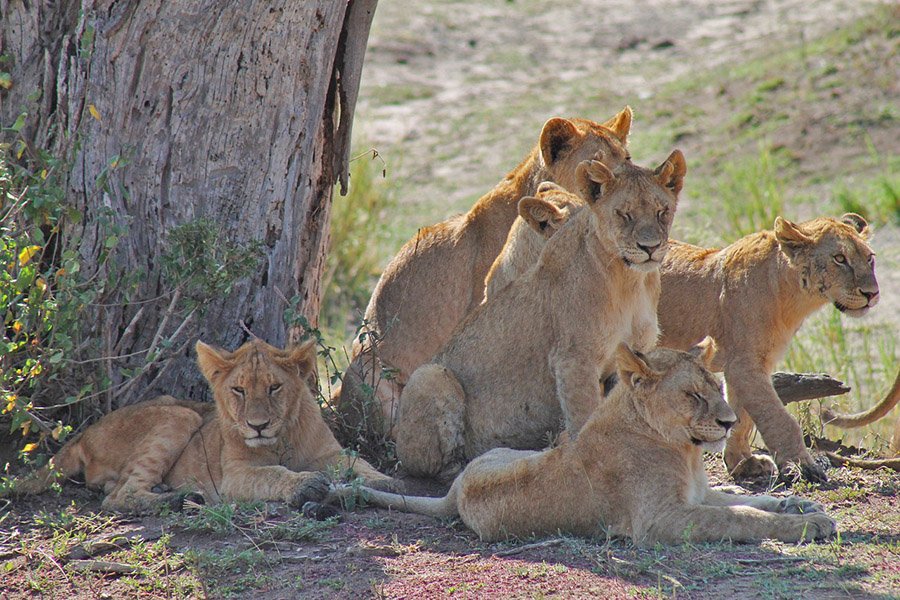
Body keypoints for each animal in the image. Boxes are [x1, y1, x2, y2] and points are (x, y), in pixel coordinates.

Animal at [7, 339, 399, 513]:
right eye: (239, 390)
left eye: (275, 387)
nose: (258, 426)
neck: (281, 438)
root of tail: (82, 435)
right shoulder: (233, 477)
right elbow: (272, 473)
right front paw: (305, 485)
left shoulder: (328, 452)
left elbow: (356, 461)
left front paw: (383, 482)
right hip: (179, 415)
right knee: (118, 498)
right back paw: (181, 498)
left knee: (115, 490)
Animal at [338, 343, 836, 545]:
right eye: (693, 395)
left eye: (718, 387)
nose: (730, 422)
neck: (685, 451)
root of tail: (457, 490)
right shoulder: (660, 521)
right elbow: (742, 519)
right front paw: (808, 525)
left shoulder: (692, 495)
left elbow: (750, 503)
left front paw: (800, 505)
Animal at [395, 150, 686, 479]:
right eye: (624, 214)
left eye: (662, 211)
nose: (651, 247)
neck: (631, 281)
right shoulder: (573, 359)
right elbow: (585, 417)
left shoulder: (629, 357)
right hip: (429, 375)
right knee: (431, 465)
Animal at [657, 214, 879, 482]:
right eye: (839, 259)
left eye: (869, 258)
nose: (872, 293)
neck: (791, 297)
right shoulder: (745, 365)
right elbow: (778, 418)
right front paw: (804, 466)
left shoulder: (752, 363)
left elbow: (740, 417)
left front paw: (743, 463)